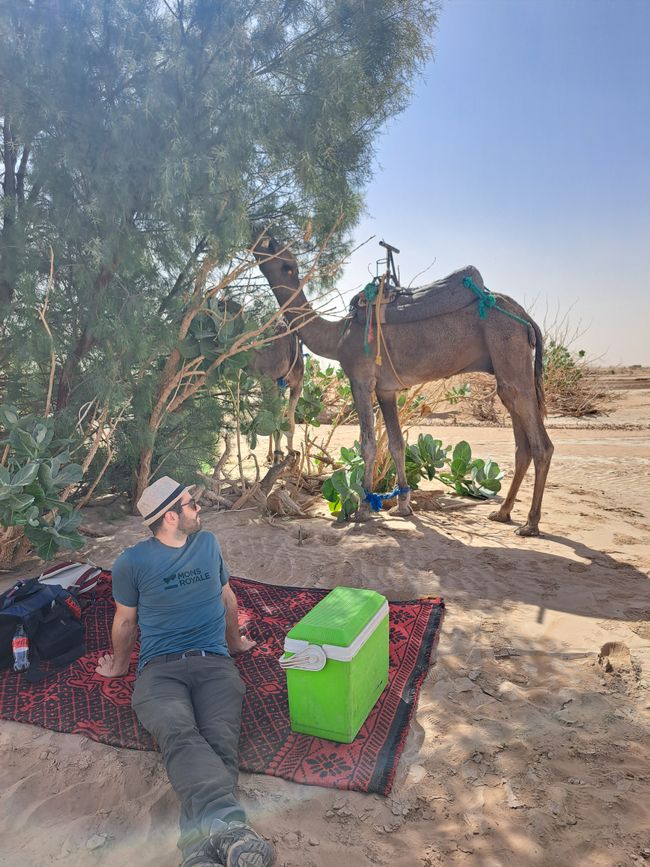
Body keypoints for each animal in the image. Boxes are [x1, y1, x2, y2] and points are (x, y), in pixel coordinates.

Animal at [253, 237, 552, 536]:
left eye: (282, 257)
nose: (263, 239)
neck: (336, 337)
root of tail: (526, 317)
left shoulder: (360, 379)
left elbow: (368, 443)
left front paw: (364, 507)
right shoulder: (386, 390)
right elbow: (396, 443)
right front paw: (403, 506)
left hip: (510, 353)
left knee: (541, 445)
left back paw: (530, 523)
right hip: (509, 370)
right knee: (521, 443)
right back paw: (502, 512)